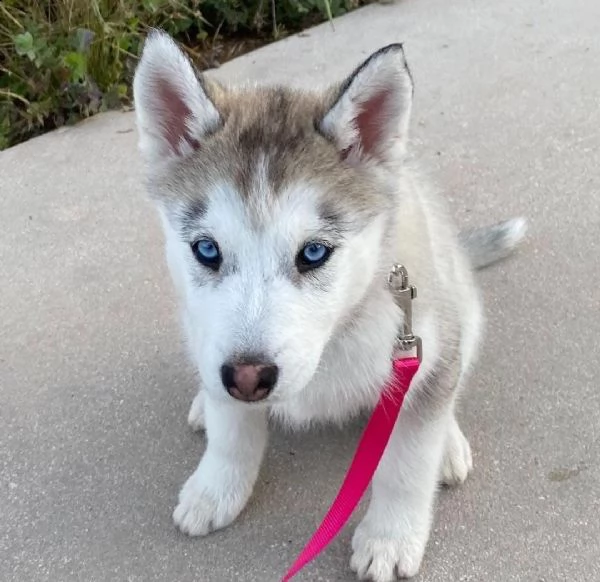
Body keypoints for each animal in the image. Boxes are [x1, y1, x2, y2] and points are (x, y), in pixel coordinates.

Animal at [132, 33, 524, 582]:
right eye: (207, 250)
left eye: (314, 253)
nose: (248, 379)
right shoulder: (214, 343)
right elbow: (232, 432)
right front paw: (216, 488)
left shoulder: (420, 348)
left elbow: (406, 463)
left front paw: (390, 537)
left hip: (460, 306)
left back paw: (447, 445)